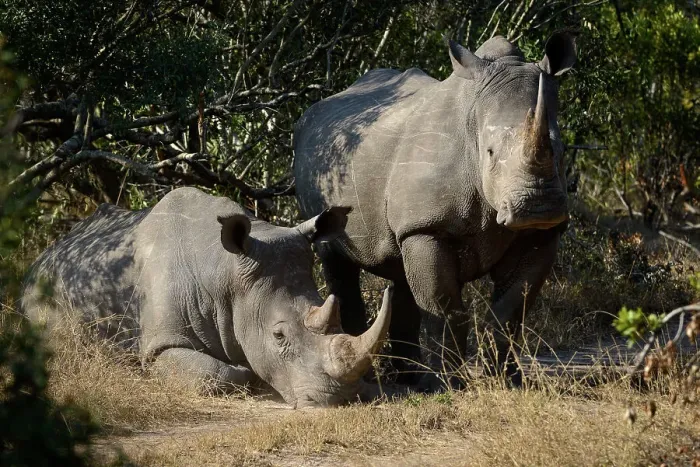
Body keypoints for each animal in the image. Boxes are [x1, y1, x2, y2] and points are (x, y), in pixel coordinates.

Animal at [22, 187, 392, 407]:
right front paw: (249, 377)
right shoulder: (160, 346)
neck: (223, 274)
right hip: (40, 289)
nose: (340, 398)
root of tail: (44, 255)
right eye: (278, 335)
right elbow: (214, 373)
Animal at [293, 33, 577, 387]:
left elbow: (512, 310)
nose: (538, 207)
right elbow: (443, 307)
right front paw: (449, 385)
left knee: (399, 268)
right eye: (490, 152)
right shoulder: (428, 227)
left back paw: (408, 377)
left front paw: (509, 382)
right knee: (336, 258)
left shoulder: (539, 234)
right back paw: (380, 378)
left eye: (562, 150)